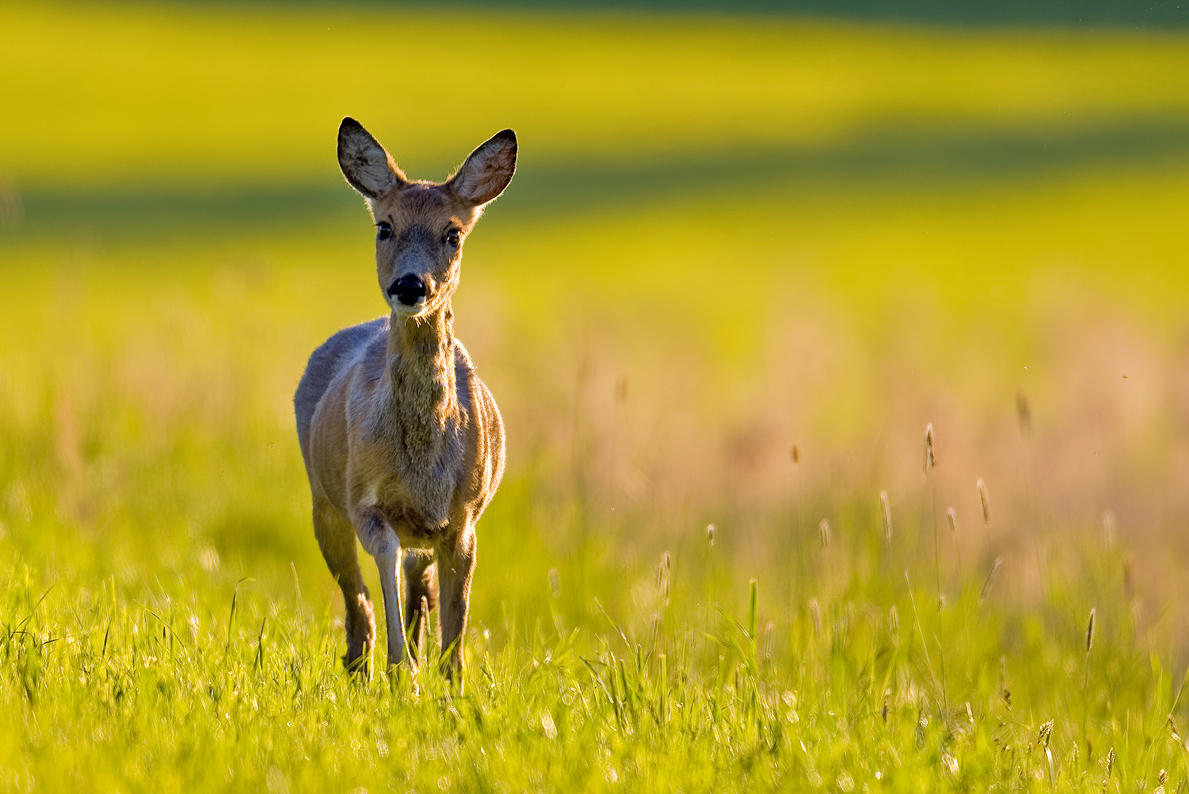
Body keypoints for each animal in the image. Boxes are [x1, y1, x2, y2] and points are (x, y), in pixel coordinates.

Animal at [294, 116, 513, 684]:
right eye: (384, 227)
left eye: (453, 233)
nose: (411, 285)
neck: (419, 462)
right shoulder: (364, 499)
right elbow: (385, 568)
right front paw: (404, 673)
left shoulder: (463, 517)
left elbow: (456, 622)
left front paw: (449, 682)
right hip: (323, 500)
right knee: (359, 600)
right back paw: (364, 665)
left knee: (419, 586)